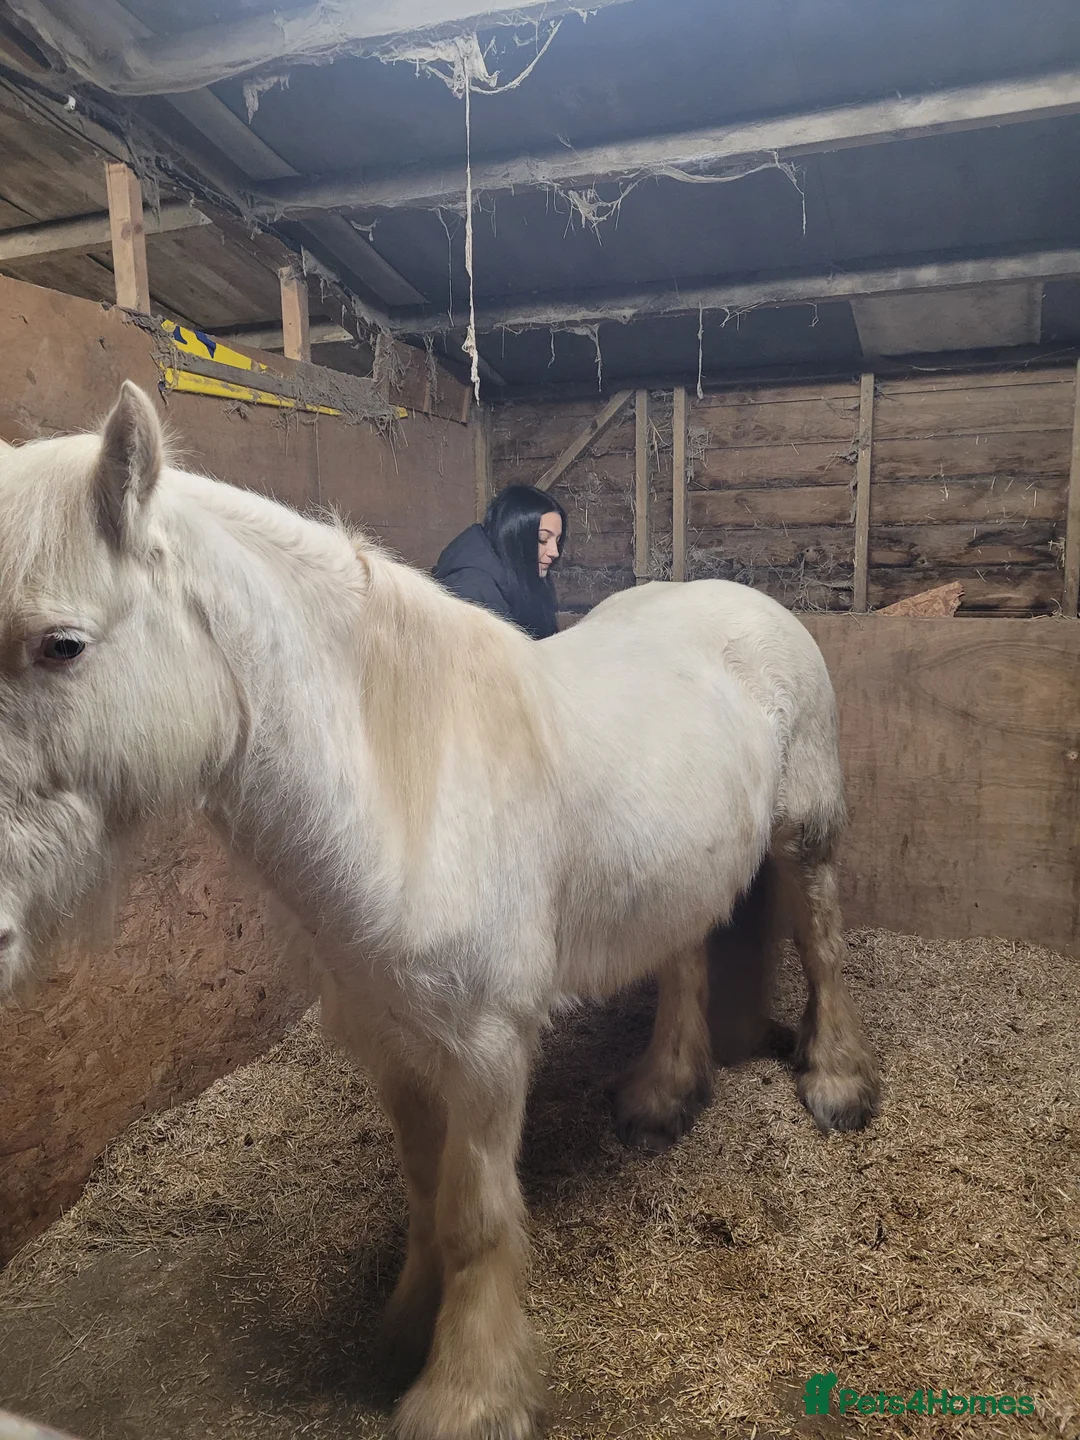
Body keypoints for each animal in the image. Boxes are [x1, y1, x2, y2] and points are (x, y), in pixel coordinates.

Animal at [0, 382, 879, 1440]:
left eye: (61, 645)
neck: (406, 797)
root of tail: (745, 601)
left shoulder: (487, 1051)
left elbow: (476, 1215)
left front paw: (470, 1392)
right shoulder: (393, 1040)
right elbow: (427, 1195)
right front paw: (404, 1333)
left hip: (807, 833)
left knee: (823, 943)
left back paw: (837, 1084)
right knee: (685, 960)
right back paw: (662, 1095)